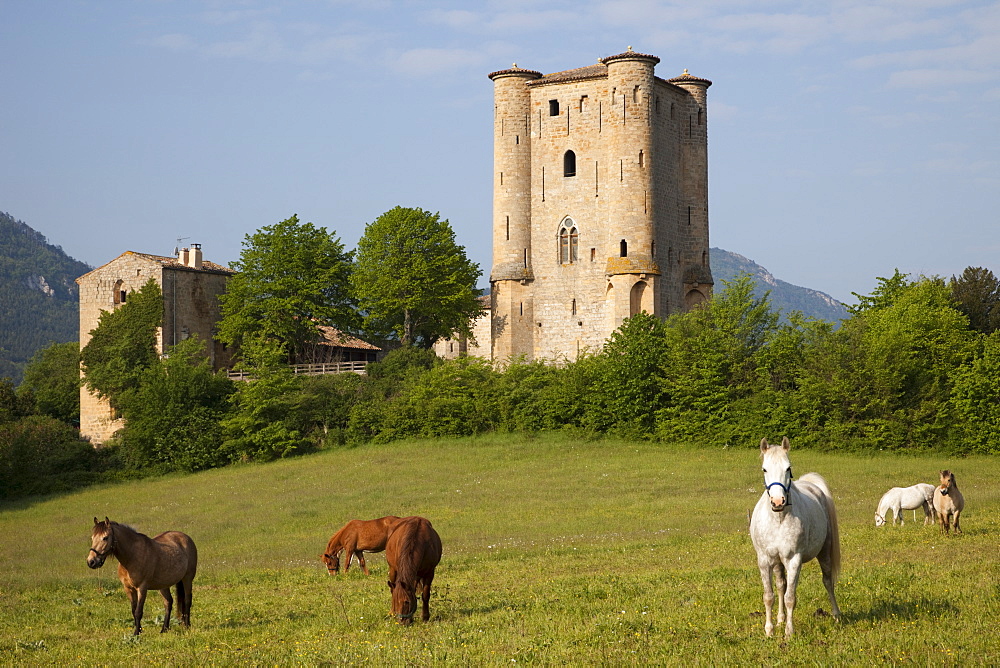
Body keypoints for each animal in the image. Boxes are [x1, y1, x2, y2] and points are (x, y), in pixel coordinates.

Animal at [748, 438, 840, 636]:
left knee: (828, 582)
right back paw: (780, 619)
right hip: (777, 563)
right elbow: (769, 596)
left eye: (788, 468)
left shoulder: (793, 560)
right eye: (764, 469)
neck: (778, 519)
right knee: (781, 585)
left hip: (824, 553)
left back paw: (837, 615)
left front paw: (789, 632)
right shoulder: (765, 560)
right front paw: (769, 630)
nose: (777, 502)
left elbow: (790, 597)